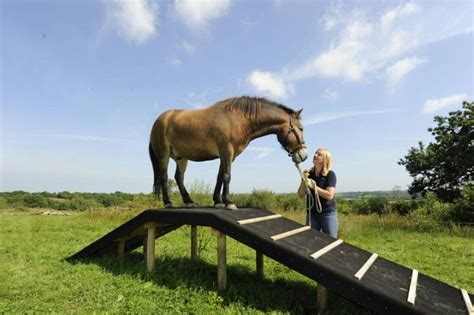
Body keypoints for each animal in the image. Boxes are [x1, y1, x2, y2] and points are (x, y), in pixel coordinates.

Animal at [150, 95, 310, 210]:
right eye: (301, 129)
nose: (304, 155)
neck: (237, 119)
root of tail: (160, 120)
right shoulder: (226, 151)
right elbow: (227, 176)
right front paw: (229, 202)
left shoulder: (228, 156)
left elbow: (220, 176)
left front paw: (218, 201)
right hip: (164, 154)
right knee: (164, 177)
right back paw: (168, 202)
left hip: (181, 158)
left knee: (179, 178)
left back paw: (189, 201)